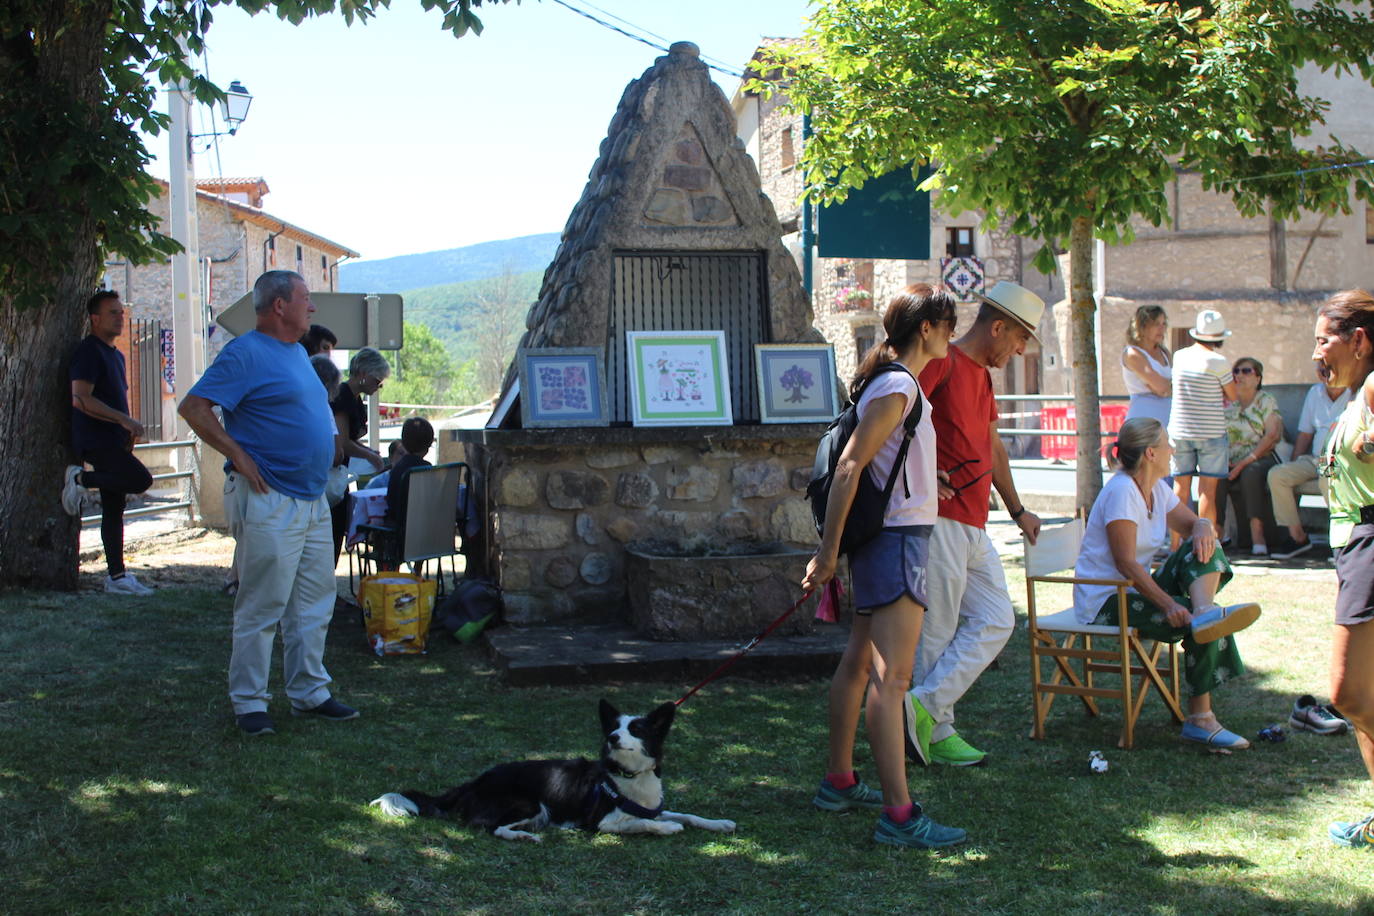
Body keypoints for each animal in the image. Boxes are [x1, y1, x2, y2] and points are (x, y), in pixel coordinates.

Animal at [365, 703, 730, 845]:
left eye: (636, 729)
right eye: (613, 727)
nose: (612, 738)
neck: (627, 776)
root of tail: (474, 781)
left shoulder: (651, 806)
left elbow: (684, 814)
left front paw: (719, 823)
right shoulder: (602, 823)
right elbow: (645, 823)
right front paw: (667, 828)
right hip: (529, 803)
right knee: (490, 828)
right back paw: (525, 836)